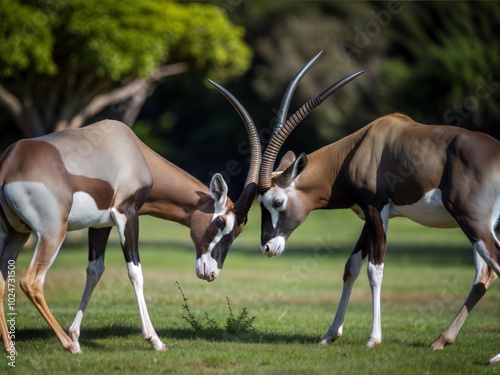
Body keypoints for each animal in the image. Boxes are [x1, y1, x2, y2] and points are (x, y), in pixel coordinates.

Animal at [0, 81, 262, 354]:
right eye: (221, 222)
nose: (210, 273)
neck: (132, 150)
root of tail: (10, 163)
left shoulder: (100, 226)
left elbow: (95, 270)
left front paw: (76, 334)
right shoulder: (127, 215)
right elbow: (135, 272)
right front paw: (155, 340)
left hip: (15, 234)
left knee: (2, 280)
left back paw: (11, 347)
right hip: (51, 234)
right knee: (31, 281)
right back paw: (69, 347)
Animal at [258, 53, 500, 364]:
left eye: (276, 202)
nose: (267, 247)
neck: (359, 147)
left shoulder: (376, 208)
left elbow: (375, 270)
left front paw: (373, 339)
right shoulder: (369, 216)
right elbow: (351, 267)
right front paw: (330, 334)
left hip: (473, 222)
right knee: (484, 276)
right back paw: (441, 341)